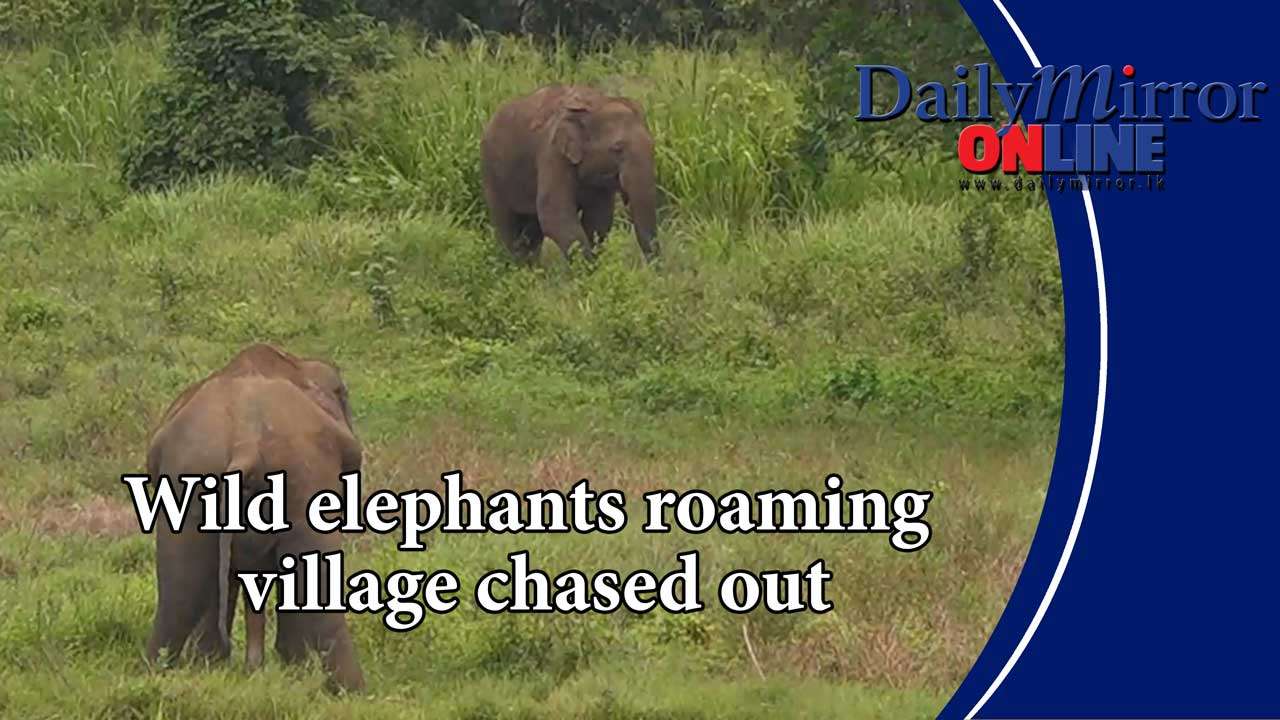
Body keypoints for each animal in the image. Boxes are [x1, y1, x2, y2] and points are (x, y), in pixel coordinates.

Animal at [144, 340, 366, 691]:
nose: (253, 666)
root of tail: (245, 438)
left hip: (189, 475)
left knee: (180, 588)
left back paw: (167, 670)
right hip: (303, 476)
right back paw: (352, 690)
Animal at [481, 83, 660, 263]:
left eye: (653, 145)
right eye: (617, 149)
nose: (653, 267)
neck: (596, 103)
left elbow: (598, 218)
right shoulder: (552, 152)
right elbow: (554, 212)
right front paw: (586, 268)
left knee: (532, 230)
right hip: (492, 174)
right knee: (507, 225)